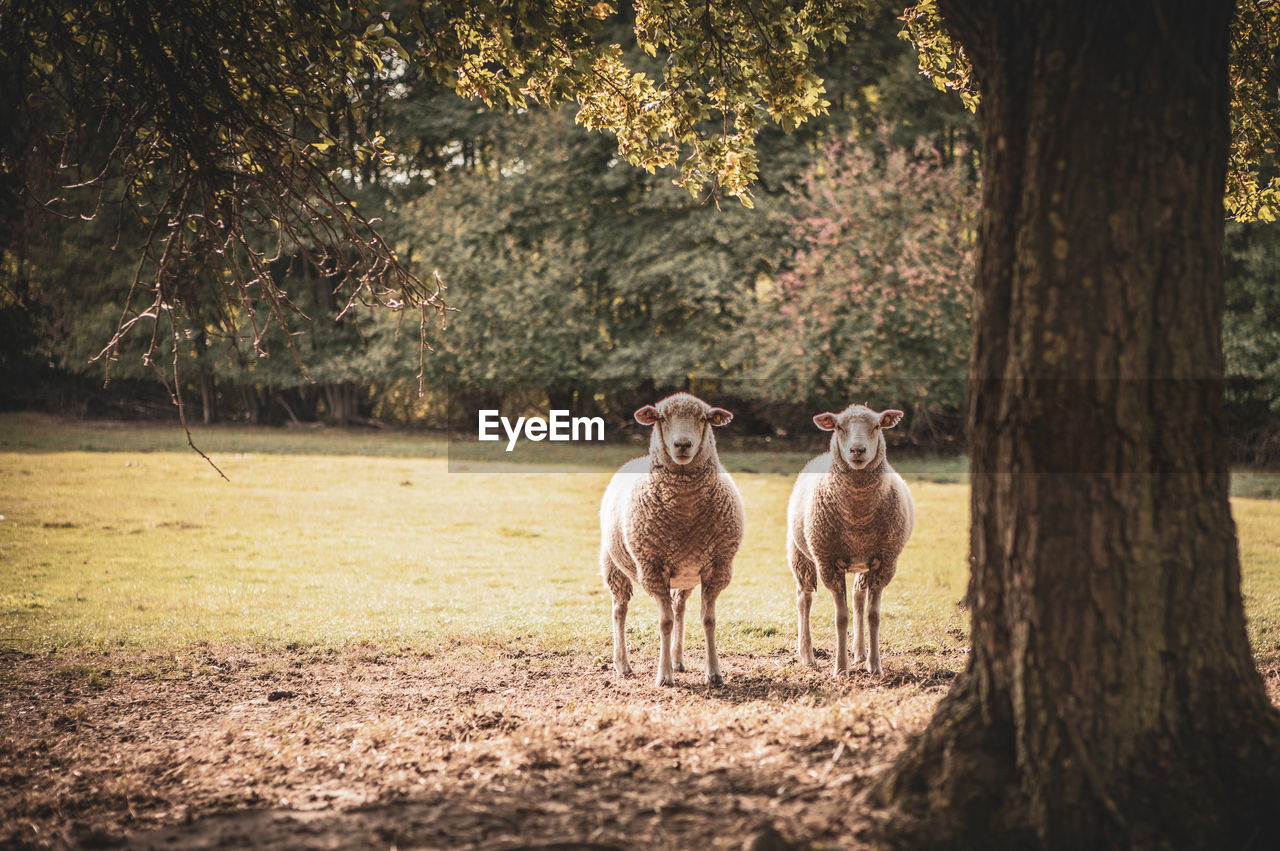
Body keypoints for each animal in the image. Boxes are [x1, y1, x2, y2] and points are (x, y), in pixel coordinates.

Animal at [601, 394, 747, 685]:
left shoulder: (717, 568)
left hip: (686, 575)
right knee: (620, 610)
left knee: (679, 607)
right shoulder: (653, 569)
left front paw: (713, 673)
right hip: (614, 566)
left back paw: (678, 659)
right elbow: (664, 623)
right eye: (662, 417)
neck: (685, 510)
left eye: (703, 418)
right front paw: (664, 675)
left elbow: (708, 620)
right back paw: (623, 664)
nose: (683, 444)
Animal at [783, 401, 916, 675]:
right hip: (800, 554)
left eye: (877, 426)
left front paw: (875, 666)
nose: (857, 450)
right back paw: (807, 655)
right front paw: (840, 669)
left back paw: (860, 653)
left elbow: (873, 616)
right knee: (804, 598)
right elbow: (840, 617)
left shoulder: (886, 562)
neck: (858, 518)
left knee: (857, 597)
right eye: (839, 427)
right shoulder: (827, 563)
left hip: (863, 563)